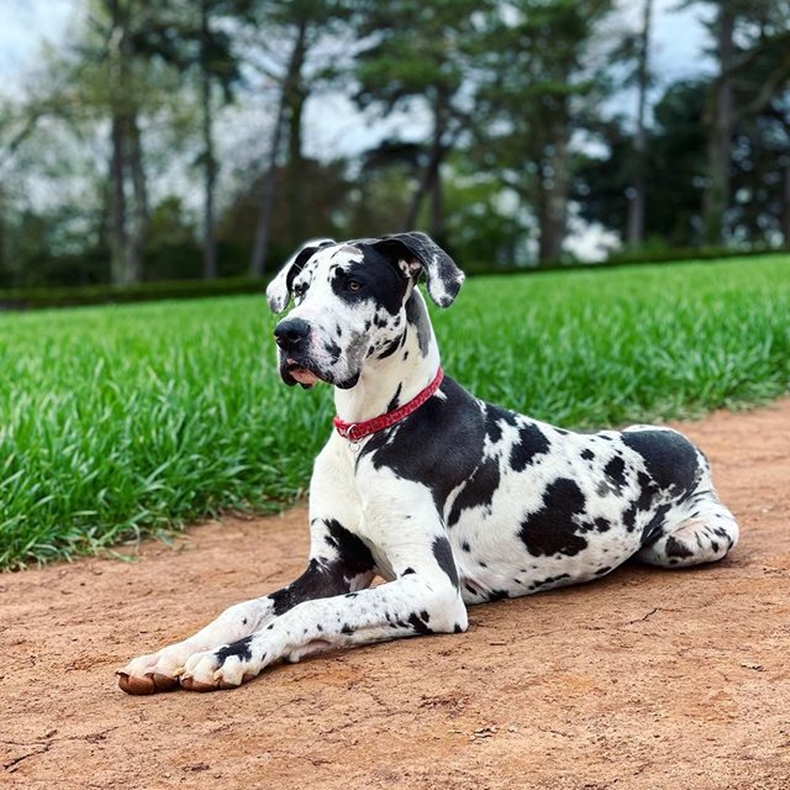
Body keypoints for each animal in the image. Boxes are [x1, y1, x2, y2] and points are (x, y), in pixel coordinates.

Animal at [117, 232, 744, 696]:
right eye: (298, 287)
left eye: (351, 283)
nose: (287, 333)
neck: (368, 434)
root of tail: (681, 440)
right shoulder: (333, 568)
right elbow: (249, 606)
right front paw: (171, 654)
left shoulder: (434, 588)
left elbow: (305, 615)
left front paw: (233, 656)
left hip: (692, 539)